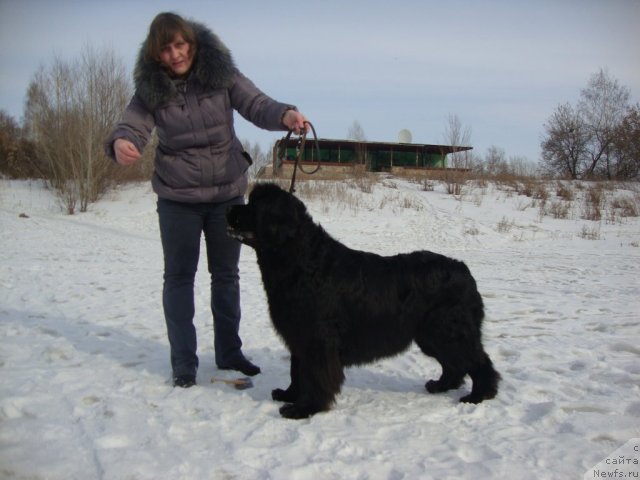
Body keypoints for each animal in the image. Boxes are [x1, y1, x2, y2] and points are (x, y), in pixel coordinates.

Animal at [226, 182, 500, 418]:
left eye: (253, 205)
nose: (229, 208)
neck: (300, 259)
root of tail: (464, 270)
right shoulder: (299, 337)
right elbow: (297, 370)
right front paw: (289, 395)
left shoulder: (318, 339)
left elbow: (313, 375)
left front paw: (304, 408)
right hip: (431, 336)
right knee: (456, 364)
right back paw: (440, 386)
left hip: (448, 330)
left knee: (478, 361)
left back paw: (478, 395)